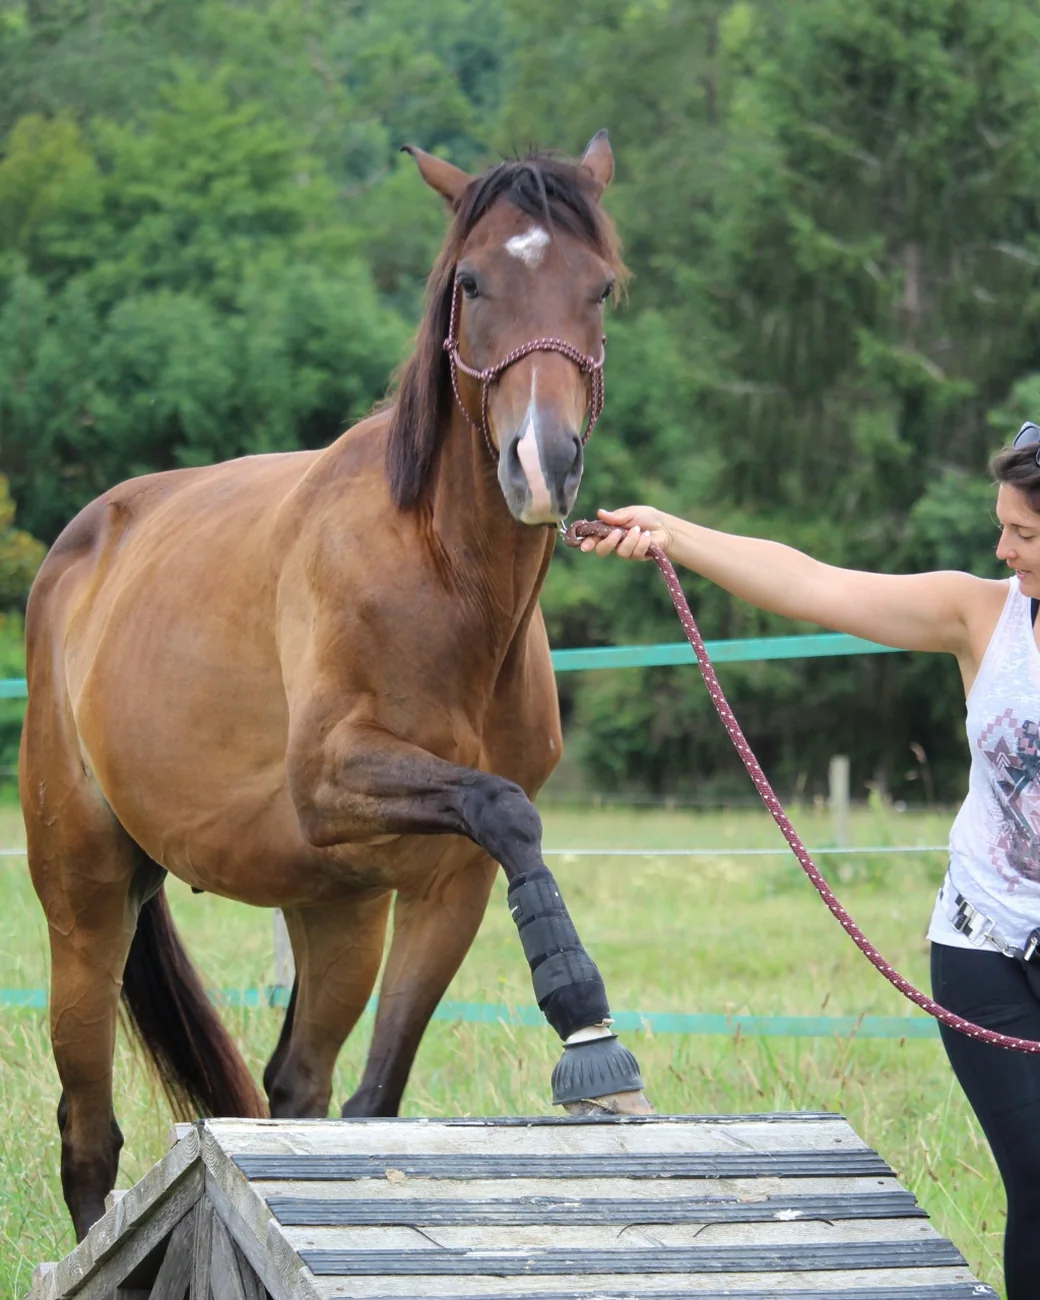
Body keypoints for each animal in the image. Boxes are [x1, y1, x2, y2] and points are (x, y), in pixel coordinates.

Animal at [20, 130, 651, 1242]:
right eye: (471, 282)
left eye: (600, 286)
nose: (542, 462)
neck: (444, 582)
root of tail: (82, 546)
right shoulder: (332, 777)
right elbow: (506, 807)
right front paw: (586, 1026)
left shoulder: (448, 886)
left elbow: (376, 1094)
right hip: (83, 901)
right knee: (87, 1135)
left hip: (337, 915)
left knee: (297, 1086)